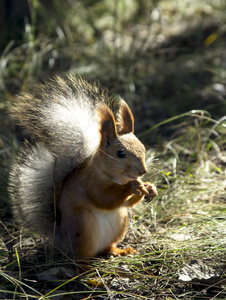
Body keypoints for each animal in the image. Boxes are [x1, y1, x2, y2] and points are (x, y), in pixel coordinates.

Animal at [8, 75, 157, 258]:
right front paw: (133, 186)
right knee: (81, 255)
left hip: (121, 221)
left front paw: (150, 187)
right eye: (120, 153)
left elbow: (127, 203)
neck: (114, 177)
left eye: (143, 148)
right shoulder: (89, 182)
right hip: (83, 225)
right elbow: (104, 199)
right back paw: (85, 264)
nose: (143, 171)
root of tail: (61, 242)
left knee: (106, 247)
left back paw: (119, 250)